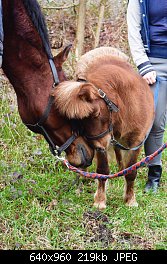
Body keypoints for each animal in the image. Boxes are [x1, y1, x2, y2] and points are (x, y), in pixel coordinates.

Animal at [52, 46, 155, 209]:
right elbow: (102, 171)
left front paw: (130, 200)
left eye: (96, 114)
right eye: (76, 121)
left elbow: (131, 171)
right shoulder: (101, 146)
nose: (96, 145)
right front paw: (100, 200)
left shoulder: (136, 142)